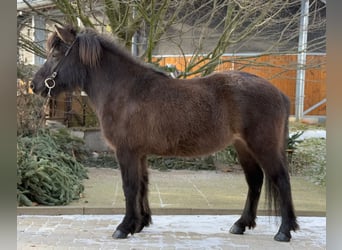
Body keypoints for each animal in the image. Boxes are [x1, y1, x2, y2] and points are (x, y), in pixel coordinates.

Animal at [32, 24, 300, 240]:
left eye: (55, 54)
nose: (35, 85)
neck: (125, 90)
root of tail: (279, 94)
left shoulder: (126, 152)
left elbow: (129, 187)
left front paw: (124, 227)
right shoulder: (139, 153)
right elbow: (142, 185)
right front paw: (139, 224)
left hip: (262, 146)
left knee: (281, 180)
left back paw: (284, 231)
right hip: (243, 147)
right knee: (255, 182)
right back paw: (241, 224)